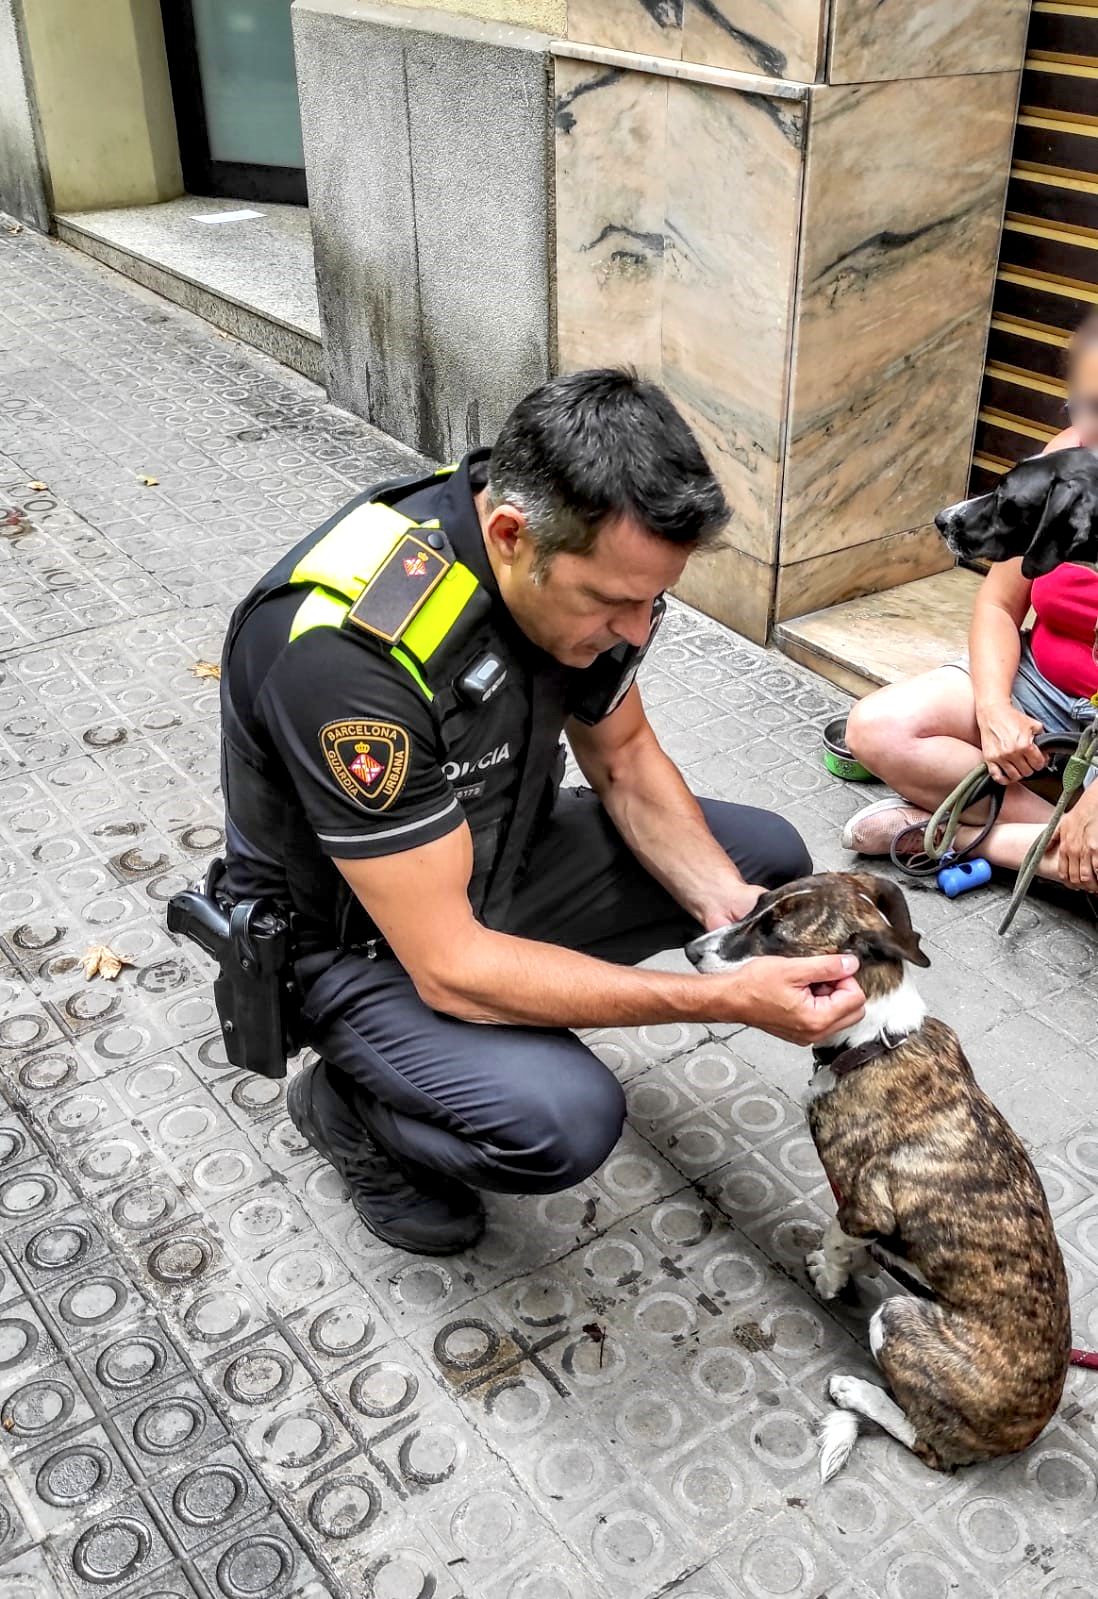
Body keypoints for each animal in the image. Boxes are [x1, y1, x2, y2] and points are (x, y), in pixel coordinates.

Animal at [690, 876, 1067, 1471]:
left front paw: (830, 1275)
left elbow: (838, 1234)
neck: (875, 1042)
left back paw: (857, 1391)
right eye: (756, 905)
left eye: (774, 933)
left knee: (924, 1443)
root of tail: (1026, 1434)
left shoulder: (864, 1206)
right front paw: (853, 1267)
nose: (690, 951)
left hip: (899, 1320)